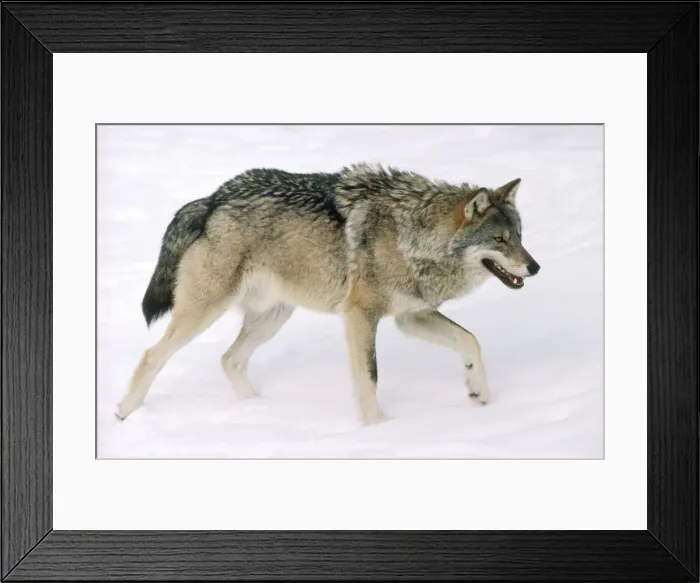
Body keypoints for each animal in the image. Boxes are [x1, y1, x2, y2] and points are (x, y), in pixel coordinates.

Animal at [115, 163, 540, 425]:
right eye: (500, 240)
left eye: (520, 236)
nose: (535, 268)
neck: (412, 237)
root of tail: (212, 199)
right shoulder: (360, 316)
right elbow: (369, 376)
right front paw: (378, 428)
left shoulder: (411, 316)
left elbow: (471, 342)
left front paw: (479, 392)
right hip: (206, 311)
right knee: (152, 355)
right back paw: (125, 412)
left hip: (273, 318)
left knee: (229, 359)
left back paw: (258, 409)